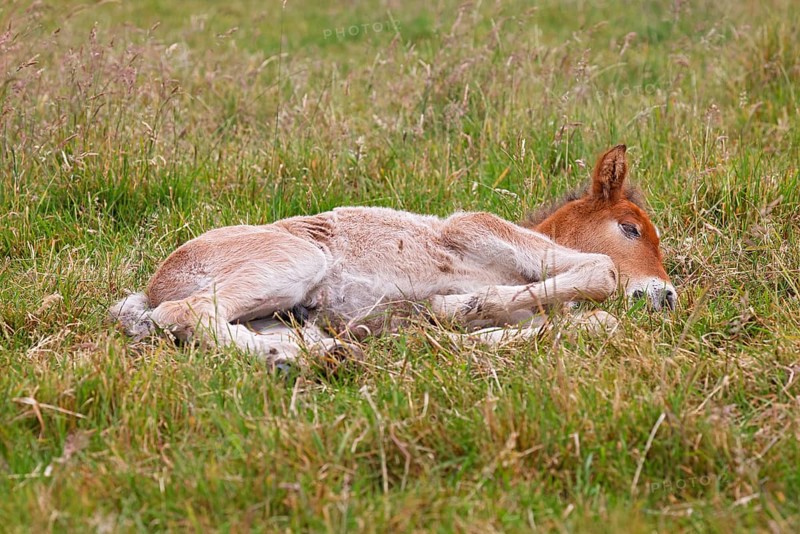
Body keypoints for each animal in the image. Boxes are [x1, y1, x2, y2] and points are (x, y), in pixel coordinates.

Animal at [110, 144, 676, 366]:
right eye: (630, 228)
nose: (666, 296)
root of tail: (151, 286)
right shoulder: (472, 227)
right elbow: (602, 271)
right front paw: (454, 307)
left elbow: (589, 322)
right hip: (291, 261)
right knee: (184, 312)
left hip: (278, 314)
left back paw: (326, 355)